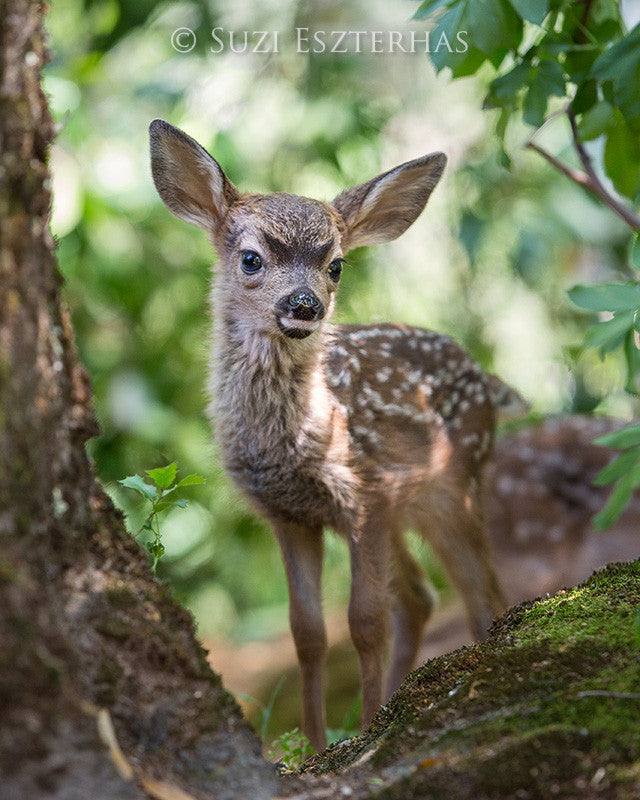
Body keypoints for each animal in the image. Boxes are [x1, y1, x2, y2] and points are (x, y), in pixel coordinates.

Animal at [150, 119, 516, 752]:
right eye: (251, 259)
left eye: (336, 265)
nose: (305, 304)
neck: (295, 440)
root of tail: (486, 379)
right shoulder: (290, 515)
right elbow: (308, 633)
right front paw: (321, 742)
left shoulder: (364, 496)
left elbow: (364, 624)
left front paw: (363, 734)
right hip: (408, 507)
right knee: (420, 595)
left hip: (452, 486)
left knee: (481, 594)